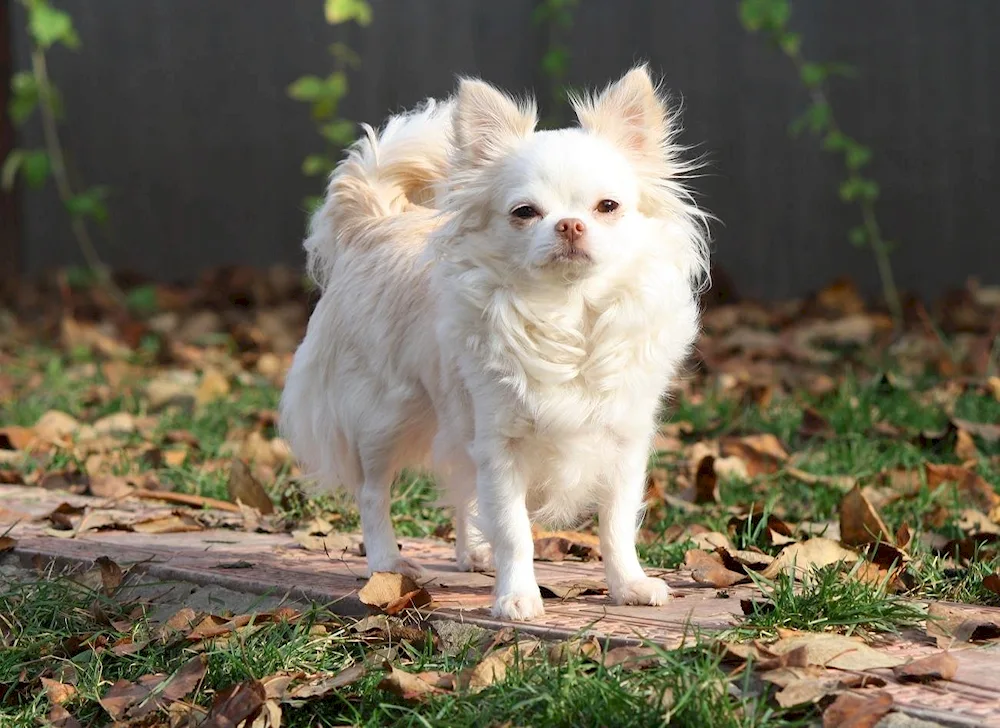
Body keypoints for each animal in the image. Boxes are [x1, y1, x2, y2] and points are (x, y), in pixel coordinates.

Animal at [278, 67, 708, 620]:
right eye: (525, 212)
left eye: (607, 207)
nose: (570, 224)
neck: (568, 315)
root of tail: (374, 222)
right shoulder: (501, 445)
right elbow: (514, 527)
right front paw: (517, 596)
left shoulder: (622, 443)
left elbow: (615, 523)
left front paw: (628, 584)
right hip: (383, 417)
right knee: (373, 493)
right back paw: (388, 564)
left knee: (463, 484)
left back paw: (474, 553)